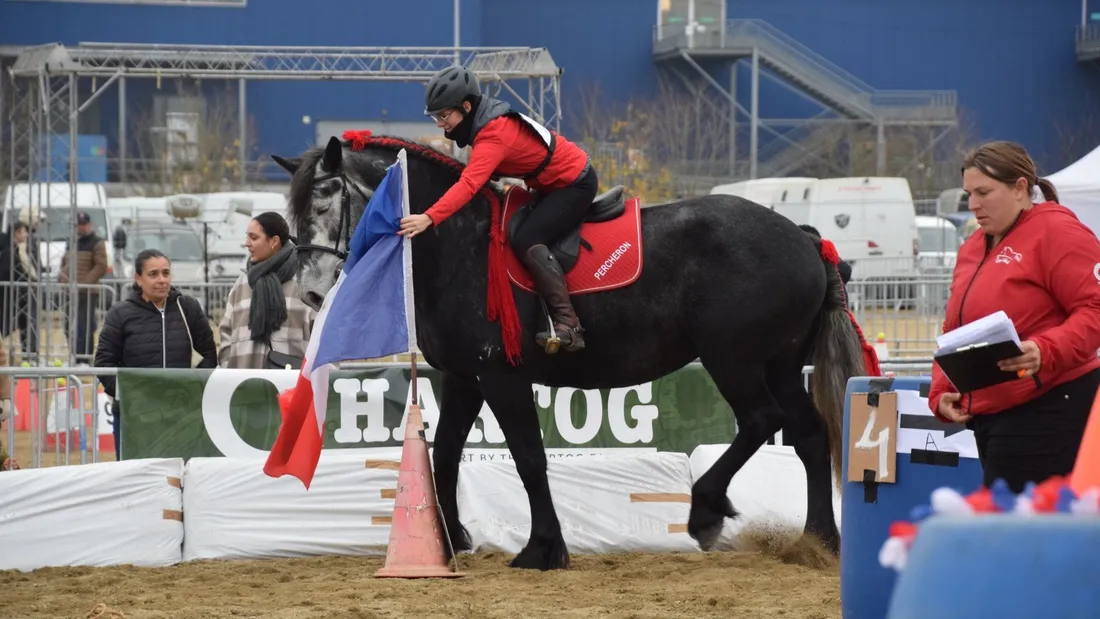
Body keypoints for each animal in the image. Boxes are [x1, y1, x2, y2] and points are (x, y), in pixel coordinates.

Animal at [271, 132, 872, 571]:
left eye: (326, 200)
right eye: (295, 211)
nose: (312, 294)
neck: (458, 245)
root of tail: (802, 237)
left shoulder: (502, 377)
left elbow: (529, 459)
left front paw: (544, 548)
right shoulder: (464, 378)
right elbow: (444, 454)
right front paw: (451, 539)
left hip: (735, 362)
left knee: (761, 421)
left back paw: (704, 509)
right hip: (780, 364)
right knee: (809, 436)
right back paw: (820, 540)